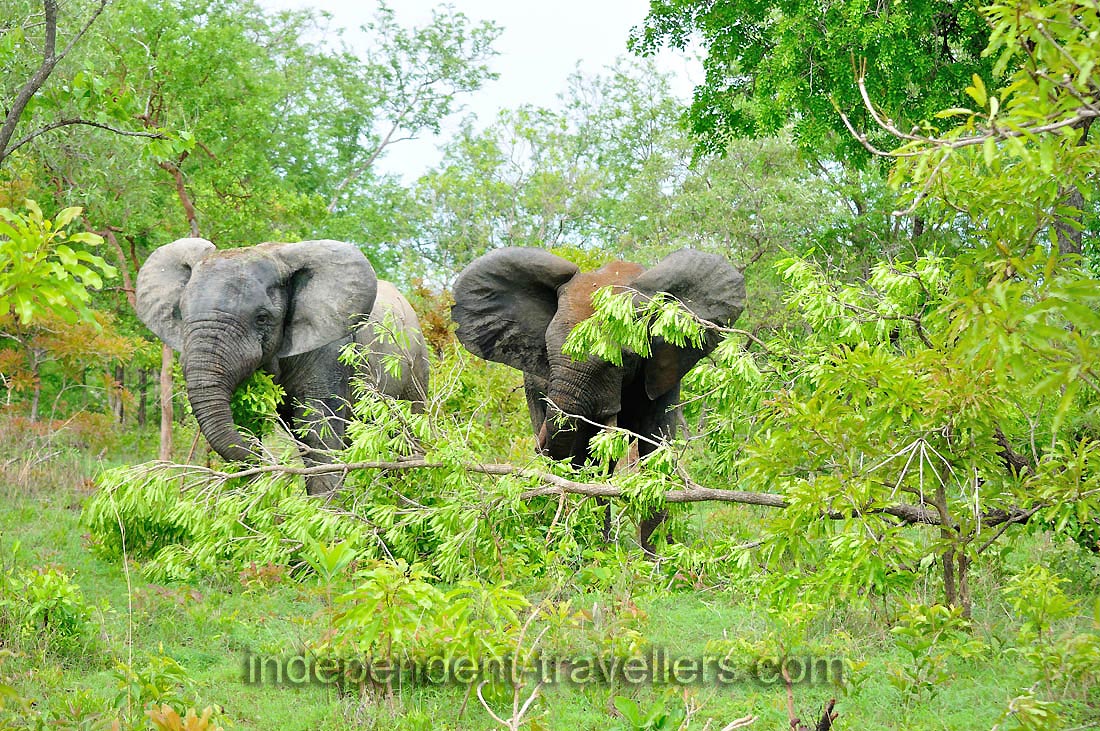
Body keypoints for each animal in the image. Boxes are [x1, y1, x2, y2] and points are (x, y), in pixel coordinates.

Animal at [135, 237, 429, 494]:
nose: (265, 459)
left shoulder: (330, 353)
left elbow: (318, 434)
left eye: (262, 318)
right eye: (182, 313)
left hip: (416, 366)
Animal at [451, 247, 745, 555]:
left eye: (626, 356)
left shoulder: (664, 368)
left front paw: (660, 561)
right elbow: (585, 460)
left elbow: (655, 449)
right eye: (547, 350)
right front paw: (594, 554)